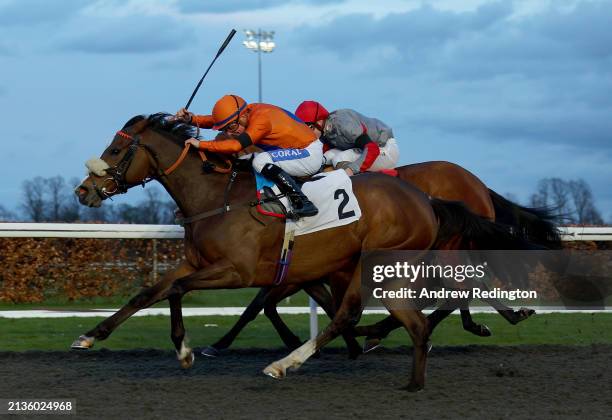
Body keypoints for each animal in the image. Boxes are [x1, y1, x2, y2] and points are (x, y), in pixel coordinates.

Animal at [74, 112, 536, 390]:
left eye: (116, 150)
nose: (84, 191)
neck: (216, 195)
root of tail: (428, 200)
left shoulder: (239, 270)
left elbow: (182, 291)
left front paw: (187, 349)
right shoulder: (202, 262)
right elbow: (151, 292)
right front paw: (91, 335)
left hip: (383, 263)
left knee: (375, 309)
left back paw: (290, 361)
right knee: (410, 317)